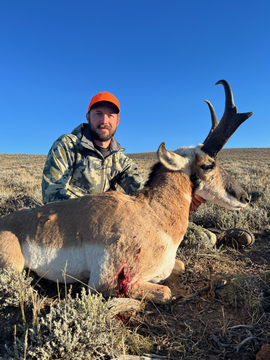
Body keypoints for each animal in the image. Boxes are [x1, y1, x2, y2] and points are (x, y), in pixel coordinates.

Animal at [0, 80, 253, 302]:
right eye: (208, 165)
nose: (246, 197)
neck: (152, 216)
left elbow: (180, 265)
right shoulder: (106, 282)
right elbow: (165, 292)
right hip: (14, 266)